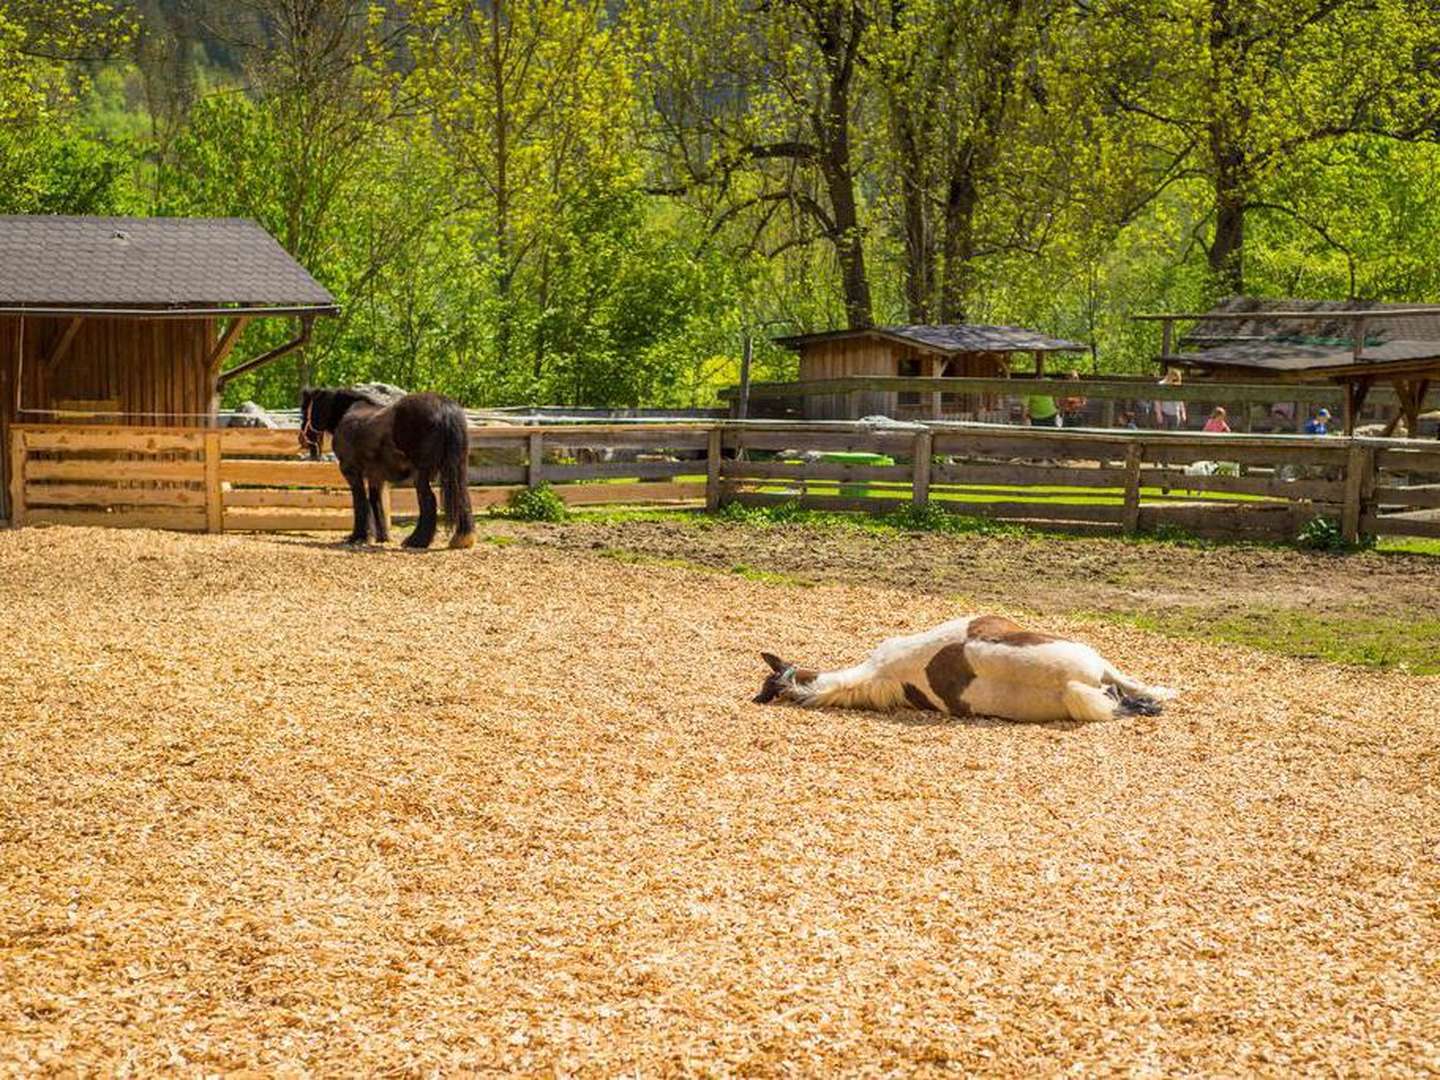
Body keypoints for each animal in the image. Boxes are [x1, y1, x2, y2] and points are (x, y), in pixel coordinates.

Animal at [298, 388, 478, 550]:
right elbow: (376, 502)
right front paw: (382, 537)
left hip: (421, 474)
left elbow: (360, 501)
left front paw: (358, 536)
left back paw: (416, 541)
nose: (301, 439)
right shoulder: (375, 476)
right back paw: (462, 538)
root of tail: (444, 406)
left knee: (428, 500)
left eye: (304, 411)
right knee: (462, 496)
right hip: (457, 468)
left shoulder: (351, 471)